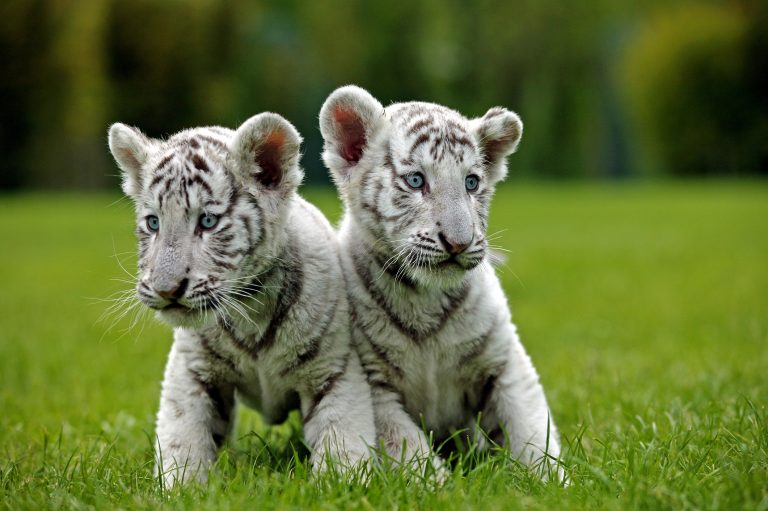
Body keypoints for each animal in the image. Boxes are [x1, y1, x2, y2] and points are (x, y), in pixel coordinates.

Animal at [108, 112, 376, 486]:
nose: (166, 289)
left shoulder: (331, 371)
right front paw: (180, 488)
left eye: (208, 221)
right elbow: (183, 438)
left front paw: (342, 486)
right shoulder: (193, 370)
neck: (251, 307)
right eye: (153, 223)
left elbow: (342, 442)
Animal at [319, 85, 564, 480]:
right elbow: (408, 448)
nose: (459, 242)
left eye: (471, 182)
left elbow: (529, 429)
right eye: (416, 180)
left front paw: (553, 482)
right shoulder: (375, 385)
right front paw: (439, 486)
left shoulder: (505, 362)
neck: (425, 299)